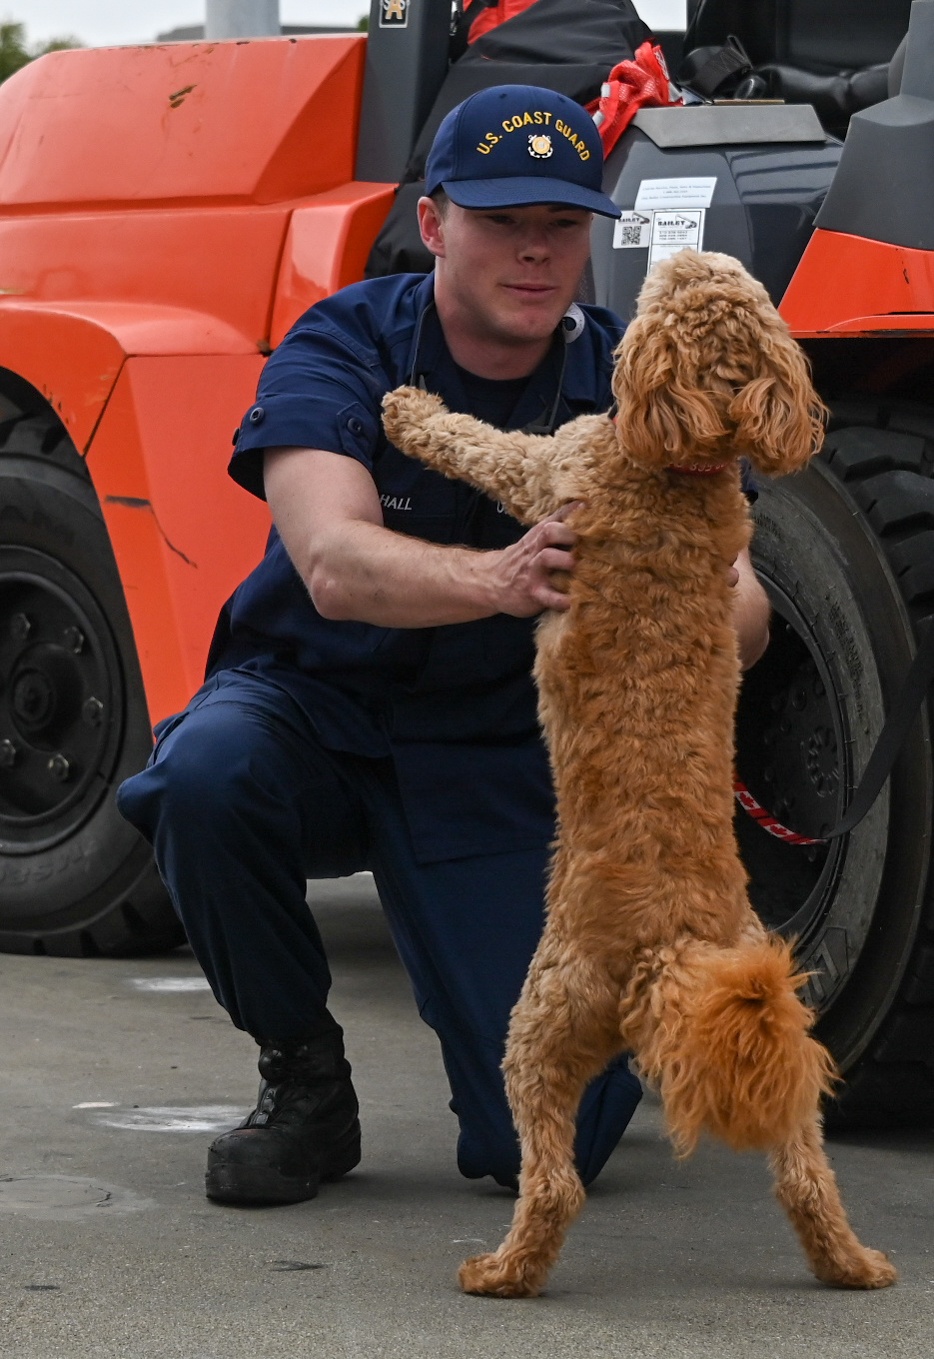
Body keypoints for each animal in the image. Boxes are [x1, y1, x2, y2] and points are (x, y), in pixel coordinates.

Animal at [380, 250, 897, 1299]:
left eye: (686, 289)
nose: (682, 249)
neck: (684, 463)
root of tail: (673, 950)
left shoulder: (546, 468)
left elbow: (477, 440)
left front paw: (410, 409)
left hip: (538, 1025)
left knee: (552, 1180)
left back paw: (502, 1270)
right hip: (786, 1055)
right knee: (805, 1176)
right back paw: (852, 1262)